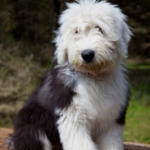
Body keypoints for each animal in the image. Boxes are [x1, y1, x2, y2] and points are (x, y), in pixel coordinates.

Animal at [8, 0, 132, 150]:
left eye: (99, 29)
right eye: (76, 31)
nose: (87, 54)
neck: (93, 77)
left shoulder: (112, 121)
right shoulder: (71, 115)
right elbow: (81, 143)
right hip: (32, 124)